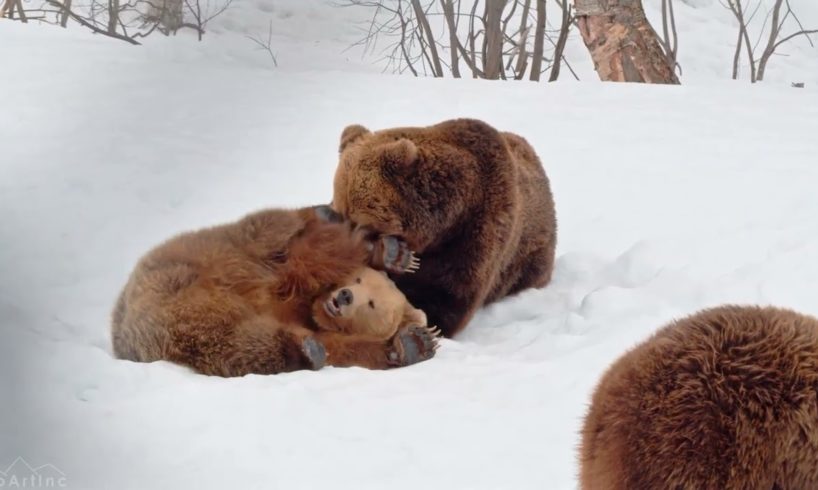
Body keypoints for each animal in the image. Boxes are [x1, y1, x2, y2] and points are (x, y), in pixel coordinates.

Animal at [113, 205, 440, 378]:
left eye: (371, 304)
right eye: (358, 282)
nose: (345, 296)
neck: (311, 310)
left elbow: (347, 349)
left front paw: (414, 342)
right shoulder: (284, 277)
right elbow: (309, 259)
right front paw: (388, 253)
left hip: (183, 321)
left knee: (236, 343)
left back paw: (306, 350)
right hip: (190, 267)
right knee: (270, 227)